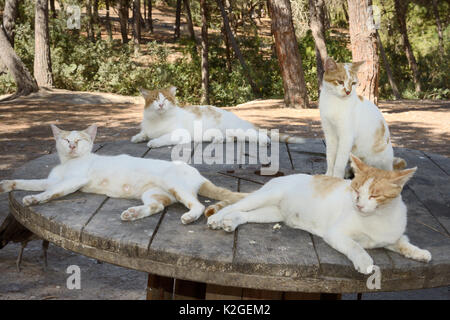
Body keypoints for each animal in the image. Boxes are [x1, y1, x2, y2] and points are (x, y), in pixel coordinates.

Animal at [0, 124, 246, 224]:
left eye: (79, 140)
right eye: (66, 140)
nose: (71, 146)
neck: (67, 163)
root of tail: (199, 174)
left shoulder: (73, 180)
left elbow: (49, 192)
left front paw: (34, 199)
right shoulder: (51, 180)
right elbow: (27, 182)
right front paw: (6, 184)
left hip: (174, 184)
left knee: (199, 205)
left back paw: (189, 217)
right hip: (154, 193)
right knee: (157, 207)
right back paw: (132, 214)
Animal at [130, 87, 306, 148]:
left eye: (165, 99)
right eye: (155, 100)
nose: (160, 105)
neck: (158, 119)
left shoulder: (179, 135)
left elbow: (162, 138)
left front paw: (153, 142)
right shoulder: (148, 129)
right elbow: (144, 133)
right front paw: (137, 137)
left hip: (239, 129)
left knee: (256, 135)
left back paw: (264, 141)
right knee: (236, 138)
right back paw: (219, 140)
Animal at [209, 154, 430, 274]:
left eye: (375, 195)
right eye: (356, 189)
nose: (358, 205)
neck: (377, 218)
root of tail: (273, 180)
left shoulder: (391, 238)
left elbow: (403, 244)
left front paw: (420, 253)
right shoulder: (336, 233)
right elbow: (356, 246)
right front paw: (365, 261)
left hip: (272, 212)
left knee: (243, 213)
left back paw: (230, 222)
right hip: (265, 197)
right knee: (234, 206)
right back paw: (216, 219)